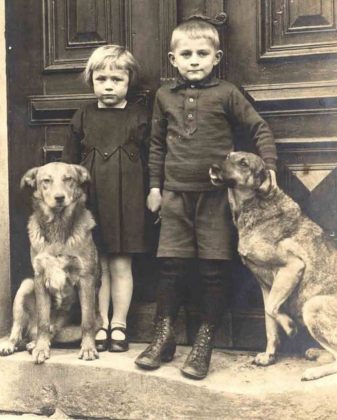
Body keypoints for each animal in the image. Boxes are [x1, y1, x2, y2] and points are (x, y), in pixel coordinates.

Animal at [0, 162, 100, 362]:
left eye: (68, 179)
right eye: (46, 180)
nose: (59, 198)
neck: (58, 227)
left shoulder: (86, 279)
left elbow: (87, 321)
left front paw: (88, 348)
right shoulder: (39, 278)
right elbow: (43, 321)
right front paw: (41, 348)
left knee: (51, 331)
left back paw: (32, 344)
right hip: (25, 286)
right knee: (20, 328)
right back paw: (13, 343)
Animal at [209, 151, 336, 380]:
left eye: (244, 163)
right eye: (228, 156)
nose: (213, 166)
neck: (256, 205)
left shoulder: (292, 267)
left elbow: (271, 309)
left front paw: (290, 327)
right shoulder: (266, 287)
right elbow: (269, 323)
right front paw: (269, 356)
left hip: (312, 305)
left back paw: (314, 371)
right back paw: (316, 353)